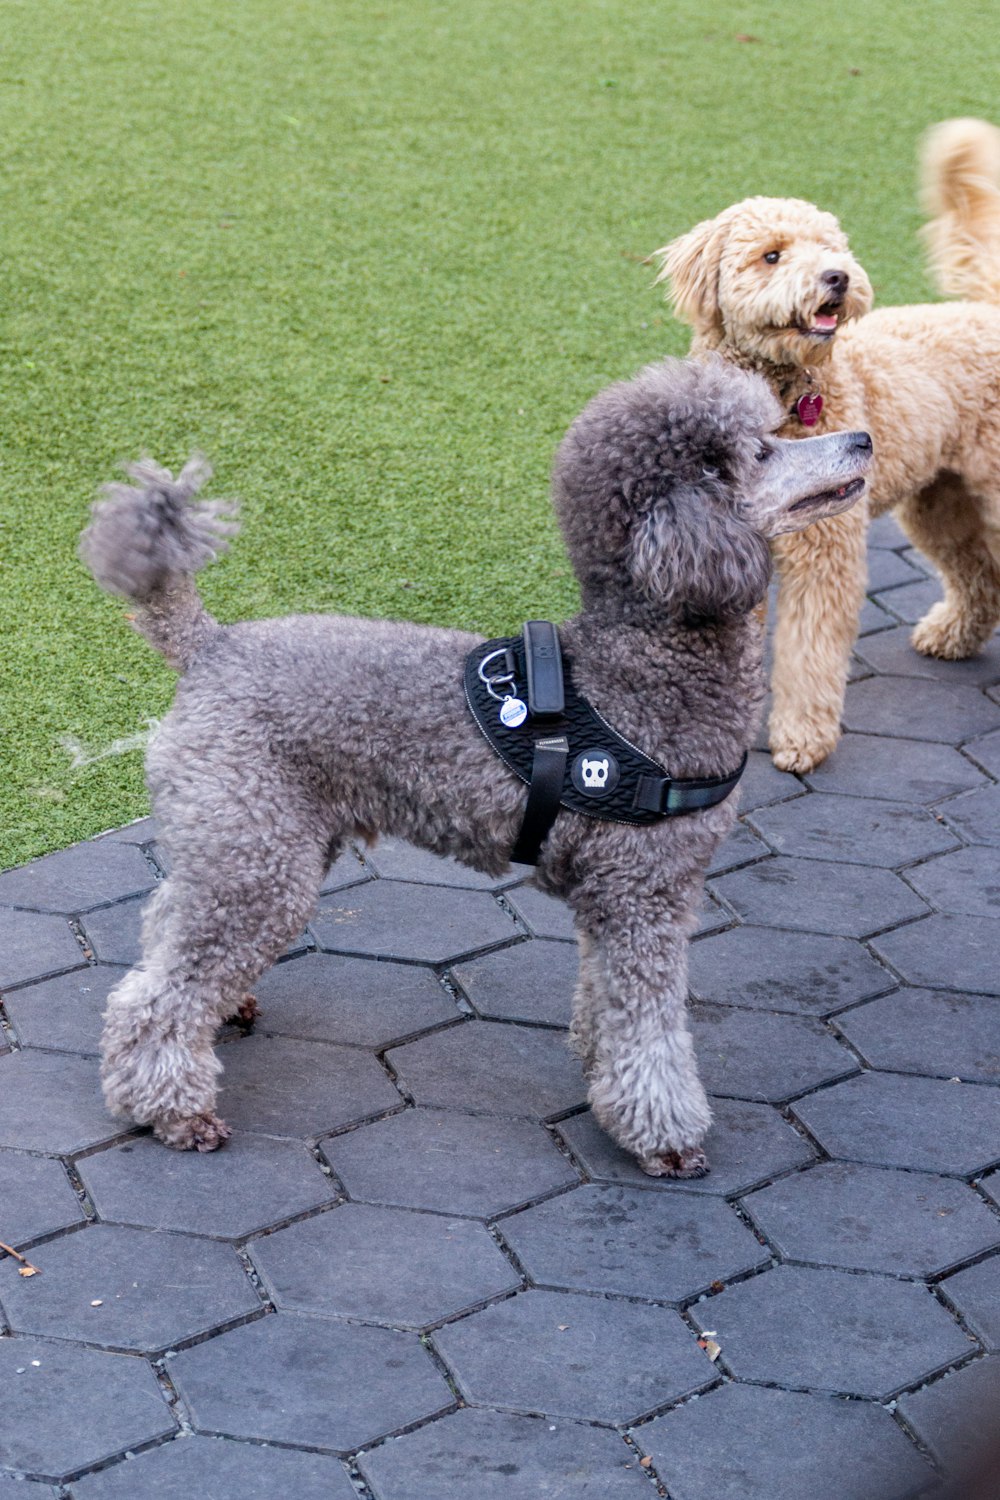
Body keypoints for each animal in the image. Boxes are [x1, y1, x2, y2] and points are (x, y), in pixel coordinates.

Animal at [653, 117, 1000, 774]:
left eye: (831, 249)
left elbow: (810, 650)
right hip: (941, 502)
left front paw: (800, 739)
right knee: (979, 572)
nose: (836, 277)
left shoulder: (824, 551)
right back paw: (951, 635)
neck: (785, 397)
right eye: (772, 254)